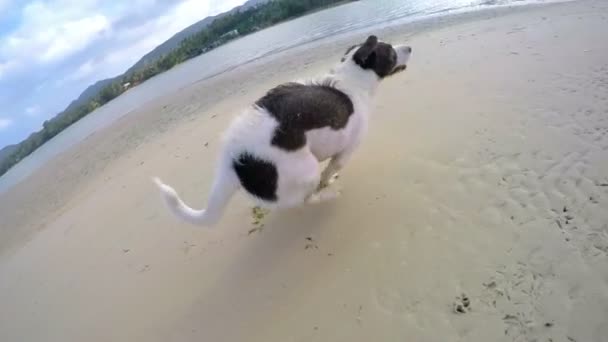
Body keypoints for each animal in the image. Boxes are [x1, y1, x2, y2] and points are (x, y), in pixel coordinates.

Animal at [153, 36, 414, 226]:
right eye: (390, 52)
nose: (410, 47)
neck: (352, 80)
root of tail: (233, 158)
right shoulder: (347, 150)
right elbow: (330, 169)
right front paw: (328, 182)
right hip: (305, 168)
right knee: (307, 198)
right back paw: (329, 195)